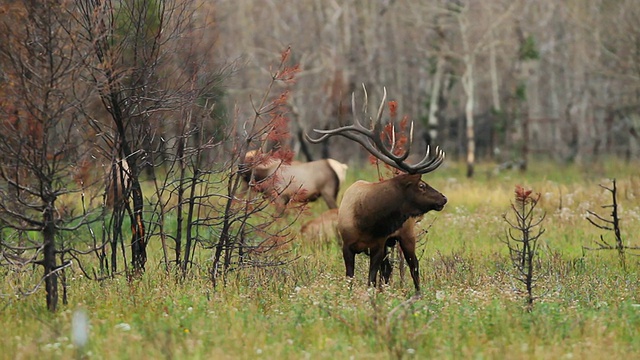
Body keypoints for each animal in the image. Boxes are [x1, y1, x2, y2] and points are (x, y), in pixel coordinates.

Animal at [308, 85, 448, 292]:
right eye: (422, 185)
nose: (443, 198)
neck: (366, 220)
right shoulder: (347, 246)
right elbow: (351, 278)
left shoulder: (378, 246)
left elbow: (371, 280)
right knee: (390, 269)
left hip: (406, 235)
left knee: (413, 266)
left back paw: (417, 293)